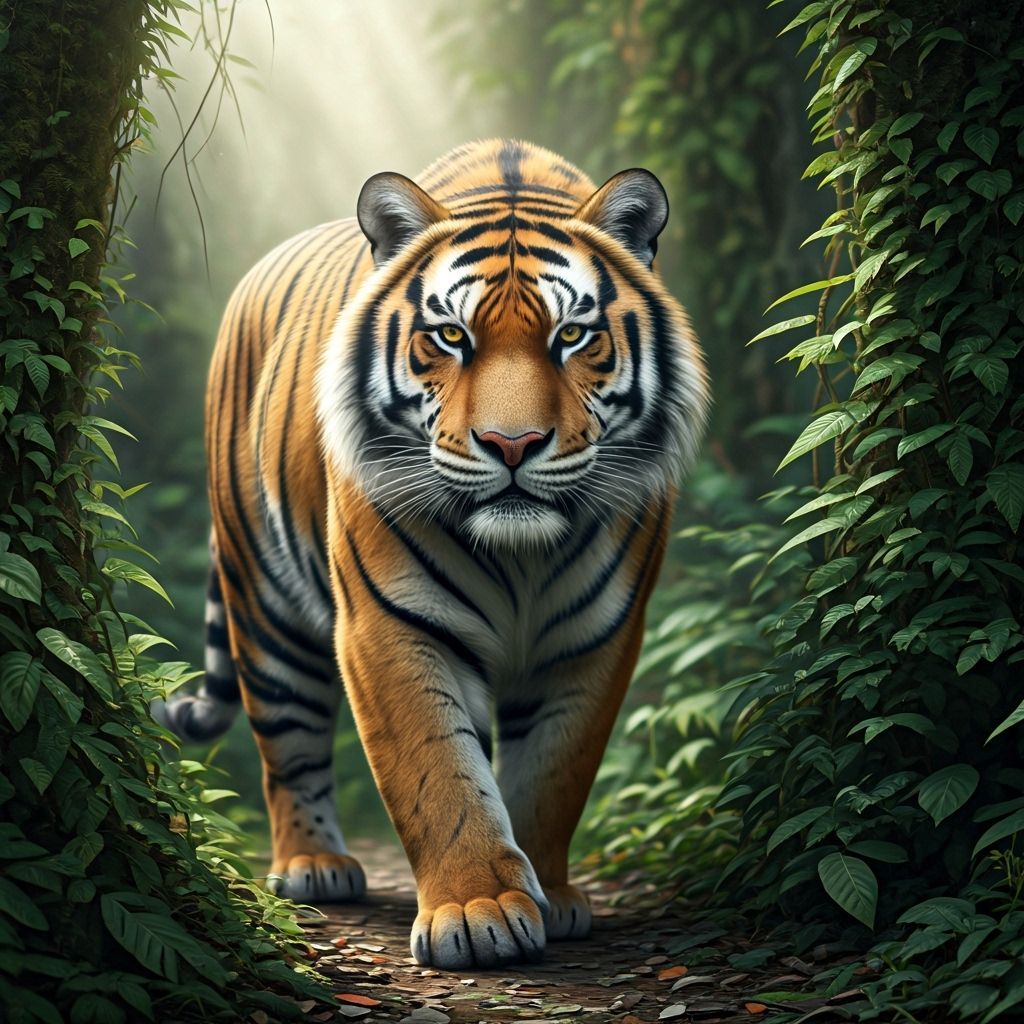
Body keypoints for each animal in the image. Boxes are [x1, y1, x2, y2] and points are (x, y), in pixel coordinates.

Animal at [154, 138, 708, 970]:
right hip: (265, 603)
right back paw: (313, 865)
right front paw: (479, 911)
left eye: (571, 336)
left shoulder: (594, 640)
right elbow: (437, 774)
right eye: (451, 337)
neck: (522, 557)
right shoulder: (390, 625)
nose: (513, 444)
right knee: (288, 742)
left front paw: (549, 893)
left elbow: (553, 775)